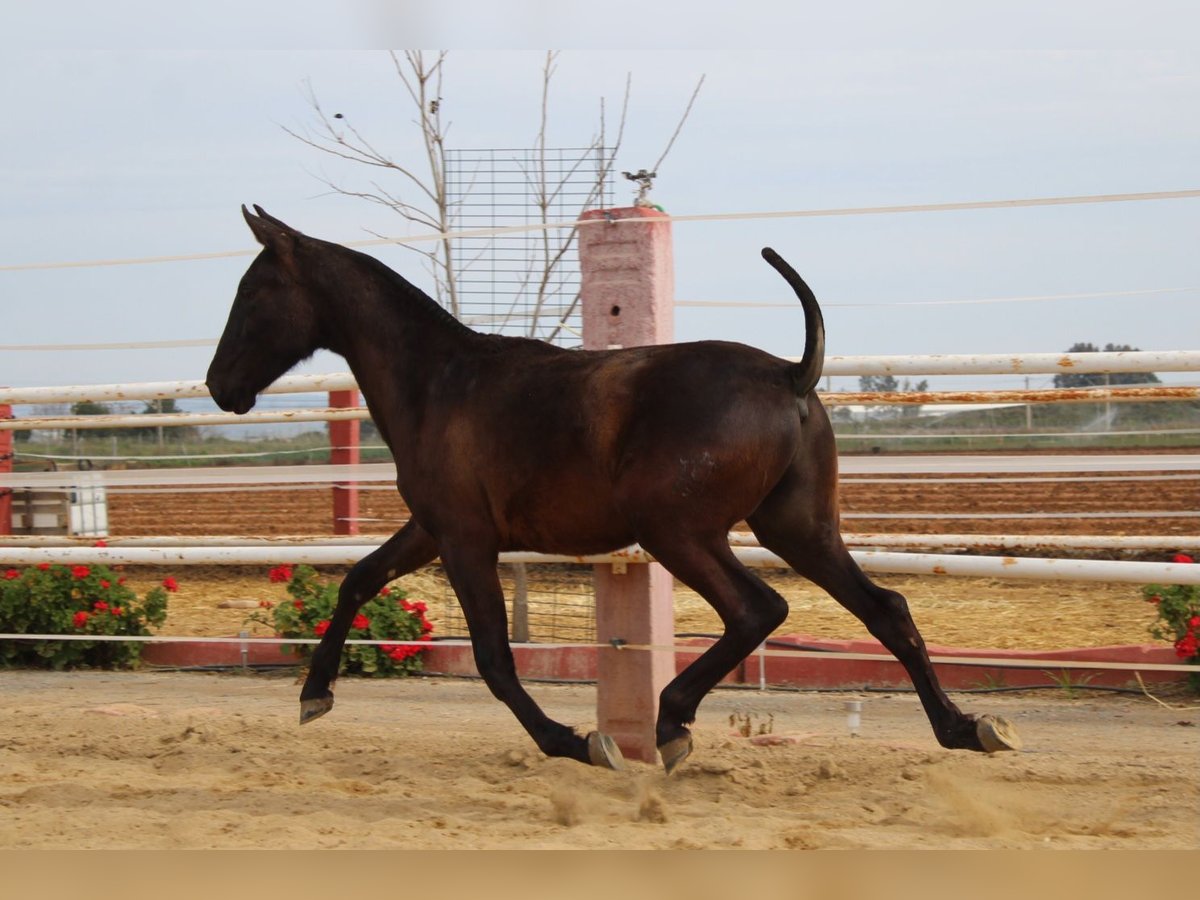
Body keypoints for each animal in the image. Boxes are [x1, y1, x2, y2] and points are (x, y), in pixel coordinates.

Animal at [208, 204, 1022, 777]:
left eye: (253, 292)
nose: (220, 386)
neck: (438, 381)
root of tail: (789, 373)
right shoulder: (434, 528)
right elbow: (357, 580)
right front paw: (314, 694)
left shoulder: (465, 539)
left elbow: (494, 657)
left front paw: (576, 741)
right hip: (797, 528)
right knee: (886, 609)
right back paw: (967, 728)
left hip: (678, 531)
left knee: (759, 608)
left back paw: (670, 723)